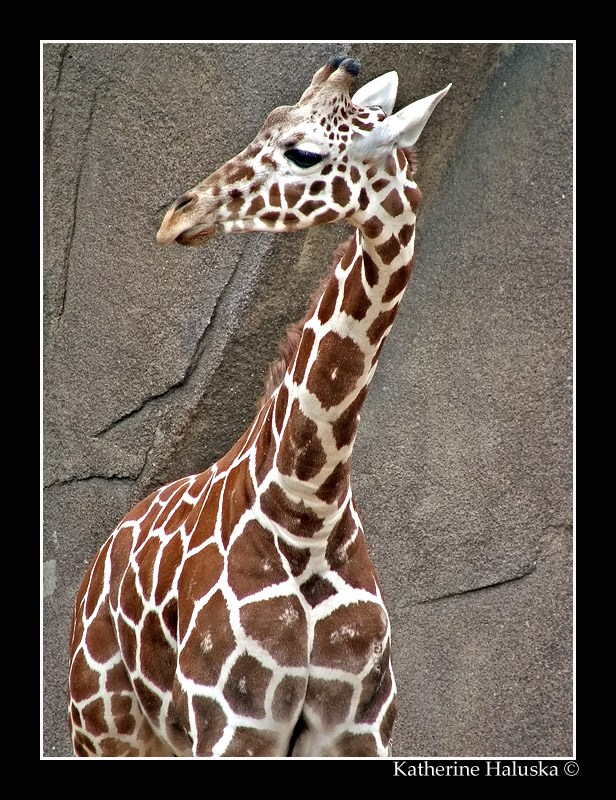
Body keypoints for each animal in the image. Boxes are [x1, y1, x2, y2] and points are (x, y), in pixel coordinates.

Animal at [68, 56, 450, 758]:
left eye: (303, 151)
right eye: (268, 122)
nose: (178, 215)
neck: (308, 510)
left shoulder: (358, 732)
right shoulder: (234, 725)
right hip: (104, 726)